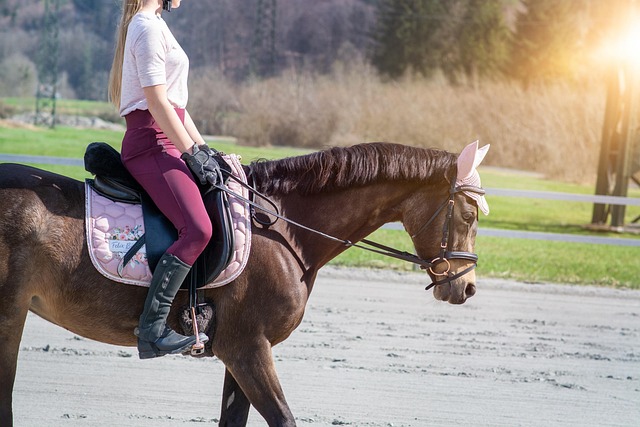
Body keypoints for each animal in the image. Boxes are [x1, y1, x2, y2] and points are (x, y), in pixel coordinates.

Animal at [0, 141, 487, 426]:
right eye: (468, 215)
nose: (465, 287)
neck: (285, 230)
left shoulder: (242, 350)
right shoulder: (247, 348)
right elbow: (284, 419)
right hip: (9, 316)